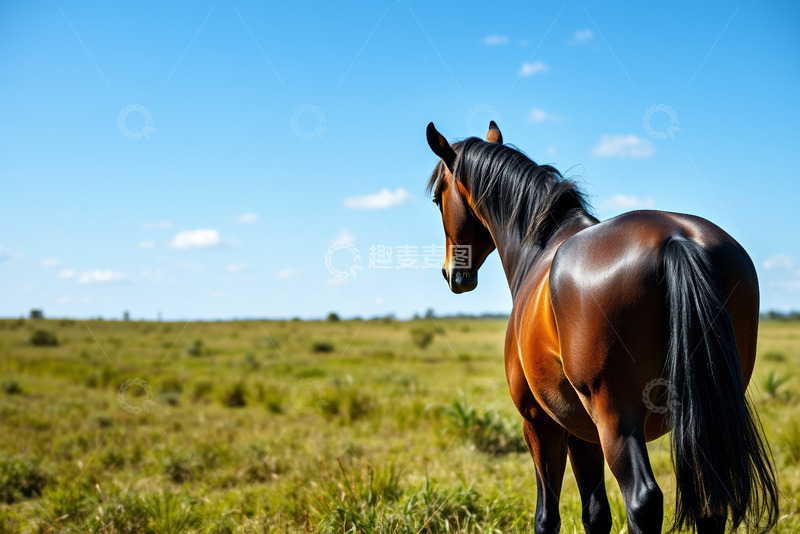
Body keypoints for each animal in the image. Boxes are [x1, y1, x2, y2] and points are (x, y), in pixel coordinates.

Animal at [424, 121, 778, 534]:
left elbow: (548, 516)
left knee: (642, 499)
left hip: (615, 419)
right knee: (711, 502)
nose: (452, 274)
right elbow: (596, 515)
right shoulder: (583, 432)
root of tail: (677, 238)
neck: (538, 249)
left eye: (438, 198)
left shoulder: (541, 423)